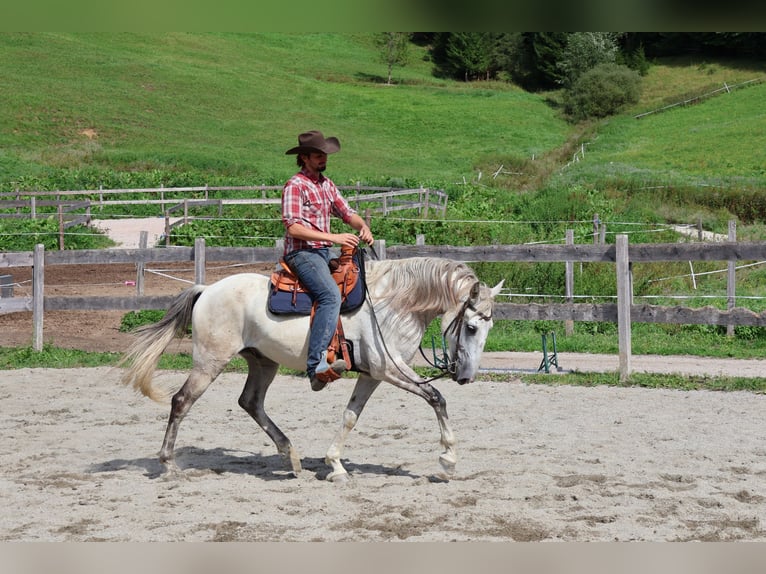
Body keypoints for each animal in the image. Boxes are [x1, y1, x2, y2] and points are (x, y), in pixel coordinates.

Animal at [119, 254, 503, 483]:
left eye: (488, 329)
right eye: (471, 327)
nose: (466, 376)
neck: (391, 304)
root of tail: (207, 289)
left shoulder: (372, 375)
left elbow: (350, 416)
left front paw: (335, 466)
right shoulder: (389, 371)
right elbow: (436, 397)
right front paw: (448, 459)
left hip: (263, 362)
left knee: (250, 402)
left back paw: (291, 457)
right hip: (210, 362)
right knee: (181, 401)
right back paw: (168, 465)